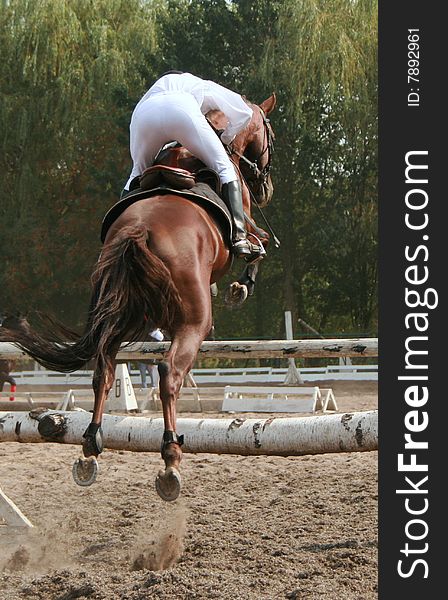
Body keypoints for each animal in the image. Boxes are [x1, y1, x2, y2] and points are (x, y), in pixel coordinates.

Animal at [0, 92, 276, 502]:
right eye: (268, 136)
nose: (265, 188)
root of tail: (139, 230)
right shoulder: (247, 221)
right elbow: (259, 243)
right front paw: (241, 285)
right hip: (193, 323)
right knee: (168, 373)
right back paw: (170, 457)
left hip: (114, 313)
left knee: (103, 370)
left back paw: (90, 447)